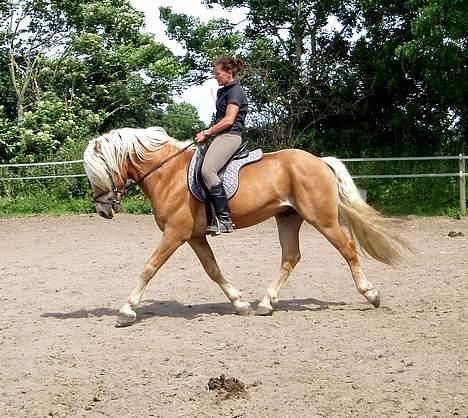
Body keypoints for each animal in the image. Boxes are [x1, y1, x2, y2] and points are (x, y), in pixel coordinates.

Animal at [83, 126, 410, 326]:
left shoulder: (175, 233)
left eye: (99, 172)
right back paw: (266, 303)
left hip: (323, 219)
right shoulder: (194, 236)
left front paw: (127, 310)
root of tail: (319, 161)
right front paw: (239, 303)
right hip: (288, 218)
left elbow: (150, 267)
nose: (103, 210)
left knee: (348, 248)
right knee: (290, 257)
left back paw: (371, 294)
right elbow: (213, 269)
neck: (168, 174)